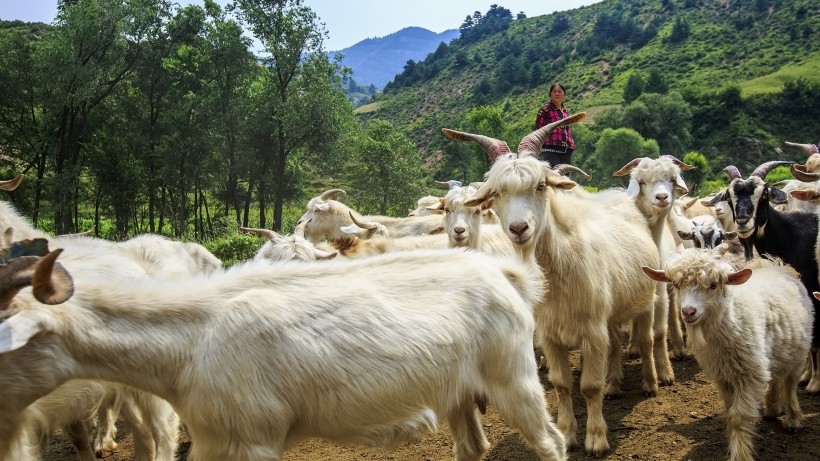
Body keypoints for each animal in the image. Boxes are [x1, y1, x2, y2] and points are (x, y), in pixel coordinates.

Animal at [3, 248, 572, 460]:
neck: (192, 339)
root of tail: (503, 273)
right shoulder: (214, 440)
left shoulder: (253, 440)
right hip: (457, 392)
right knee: (471, 447)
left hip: (513, 377)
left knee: (551, 442)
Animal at [446, 111, 664, 456]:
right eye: (498, 193)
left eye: (540, 186)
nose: (519, 228)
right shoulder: (550, 334)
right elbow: (562, 384)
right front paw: (568, 433)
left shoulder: (591, 329)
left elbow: (589, 386)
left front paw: (596, 439)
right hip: (610, 312)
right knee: (616, 343)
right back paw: (614, 384)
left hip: (645, 299)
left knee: (644, 340)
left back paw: (650, 383)